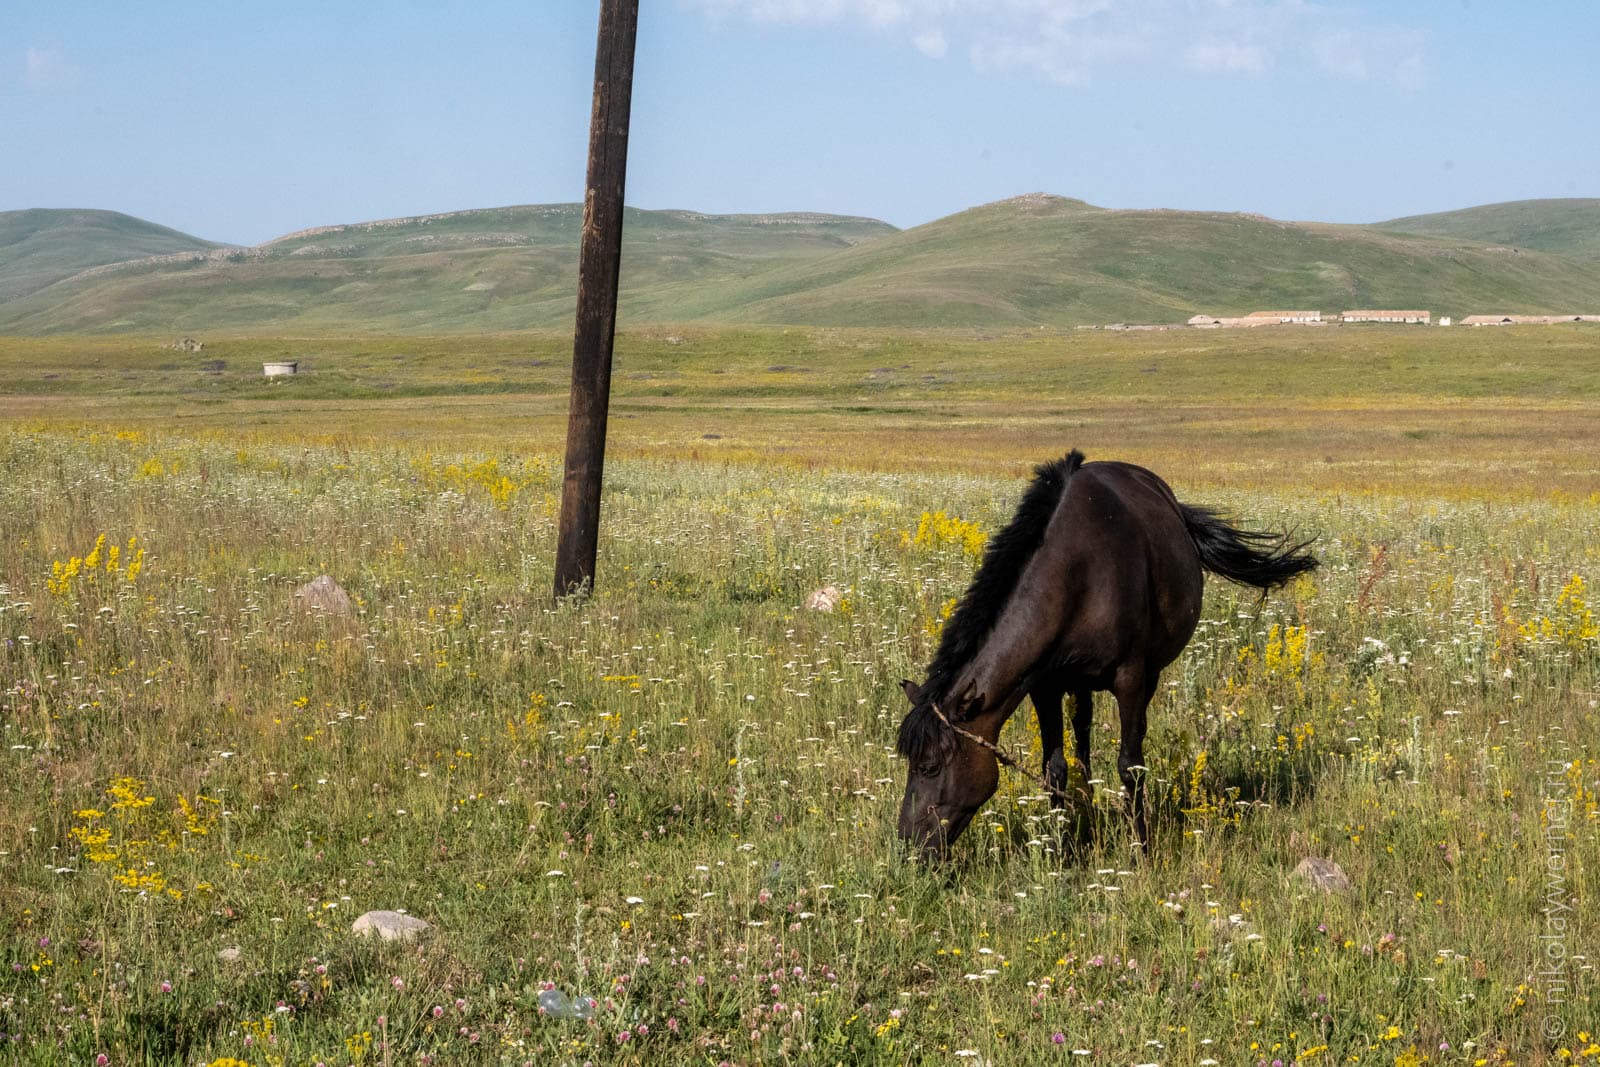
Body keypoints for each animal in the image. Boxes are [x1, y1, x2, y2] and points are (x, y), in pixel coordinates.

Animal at [902, 451, 1312, 857]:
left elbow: (1130, 764)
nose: (909, 846)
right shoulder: (1044, 685)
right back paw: (1086, 798)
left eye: (929, 767)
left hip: (1150, 672)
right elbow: (1054, 767)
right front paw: (1060, 848)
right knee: (1082, 726)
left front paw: (1140, 849)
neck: (1076, 573)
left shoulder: (1129, 676)